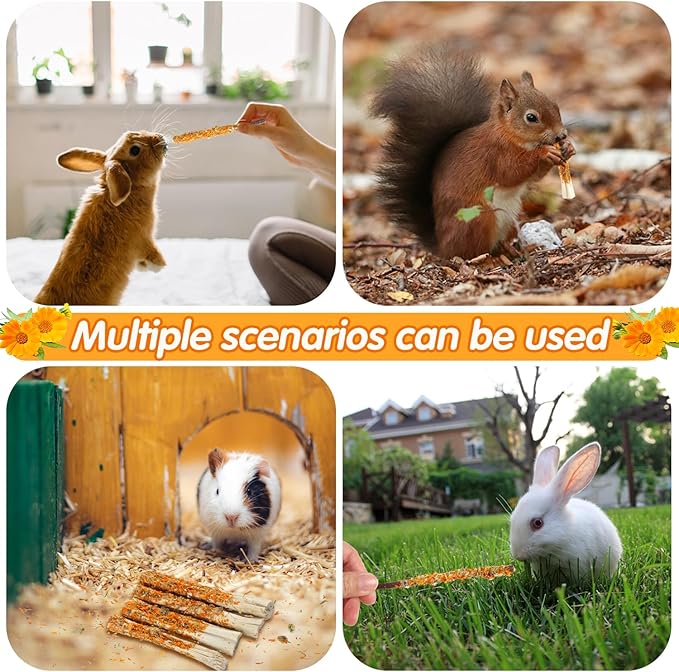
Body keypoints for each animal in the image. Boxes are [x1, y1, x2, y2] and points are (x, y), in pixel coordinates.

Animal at [370, 45, 575, 259]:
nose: (561, 135)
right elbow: (511, 171)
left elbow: (533, 176)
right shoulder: (494, 154)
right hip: (480, 218)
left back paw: (516, 249)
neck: (512, 136)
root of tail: (442, 247)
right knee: (475, 251)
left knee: (501, 241)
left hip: (512, 216)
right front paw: (544, 153)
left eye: (555, 106)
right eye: (531, 117)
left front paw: (568, 149)